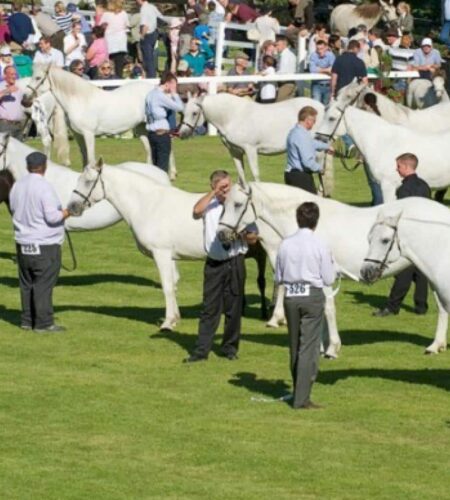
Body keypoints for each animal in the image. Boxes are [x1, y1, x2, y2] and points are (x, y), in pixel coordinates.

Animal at [67, 162, 282, 330]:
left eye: (87, 181)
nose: (72, 207)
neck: (147, 204)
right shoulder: (169, 256)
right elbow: (173, 284)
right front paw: (175, 318)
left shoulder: (160, 253)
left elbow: (167, 286)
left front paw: (168, 323)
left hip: (273, 249)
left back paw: (276, 319)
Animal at [178, 93, 330, 188]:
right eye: (183, 112)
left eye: (194, 113)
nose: (182, 134)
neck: (233, 116)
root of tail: (322, 107)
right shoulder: (235, 152)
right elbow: (241, 175)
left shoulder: (250, 149)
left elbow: (255, 174)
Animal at [216, 183, 448, 356]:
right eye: (224, 203)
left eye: (237, 204)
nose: (221, 234)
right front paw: (318, 346)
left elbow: (327, 310)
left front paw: (331, 348)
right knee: (442, 307)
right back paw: (436, 345)